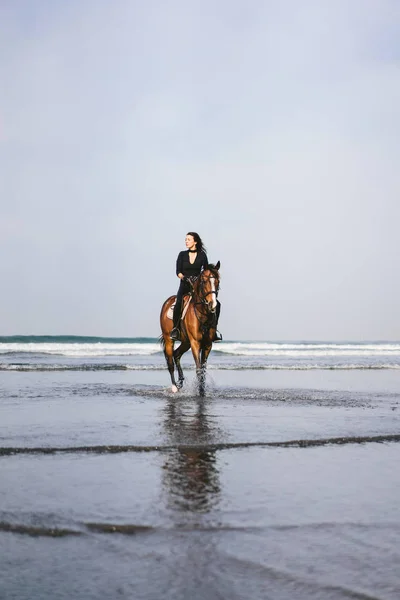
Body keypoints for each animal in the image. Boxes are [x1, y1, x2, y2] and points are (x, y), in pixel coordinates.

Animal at [160, 262, 222, 394]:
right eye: (204, 281)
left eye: (218, 281)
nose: (213, 305)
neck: (202, 312)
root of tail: (167, 302)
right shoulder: (195, 343)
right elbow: (198, 369)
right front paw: (200, 392)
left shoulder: (207, 344)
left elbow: (203, 370)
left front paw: (202, 390)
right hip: (169, 339)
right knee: (170, 362)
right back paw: (174, 387)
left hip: (186, 342)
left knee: (176, 354)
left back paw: (181, 381)